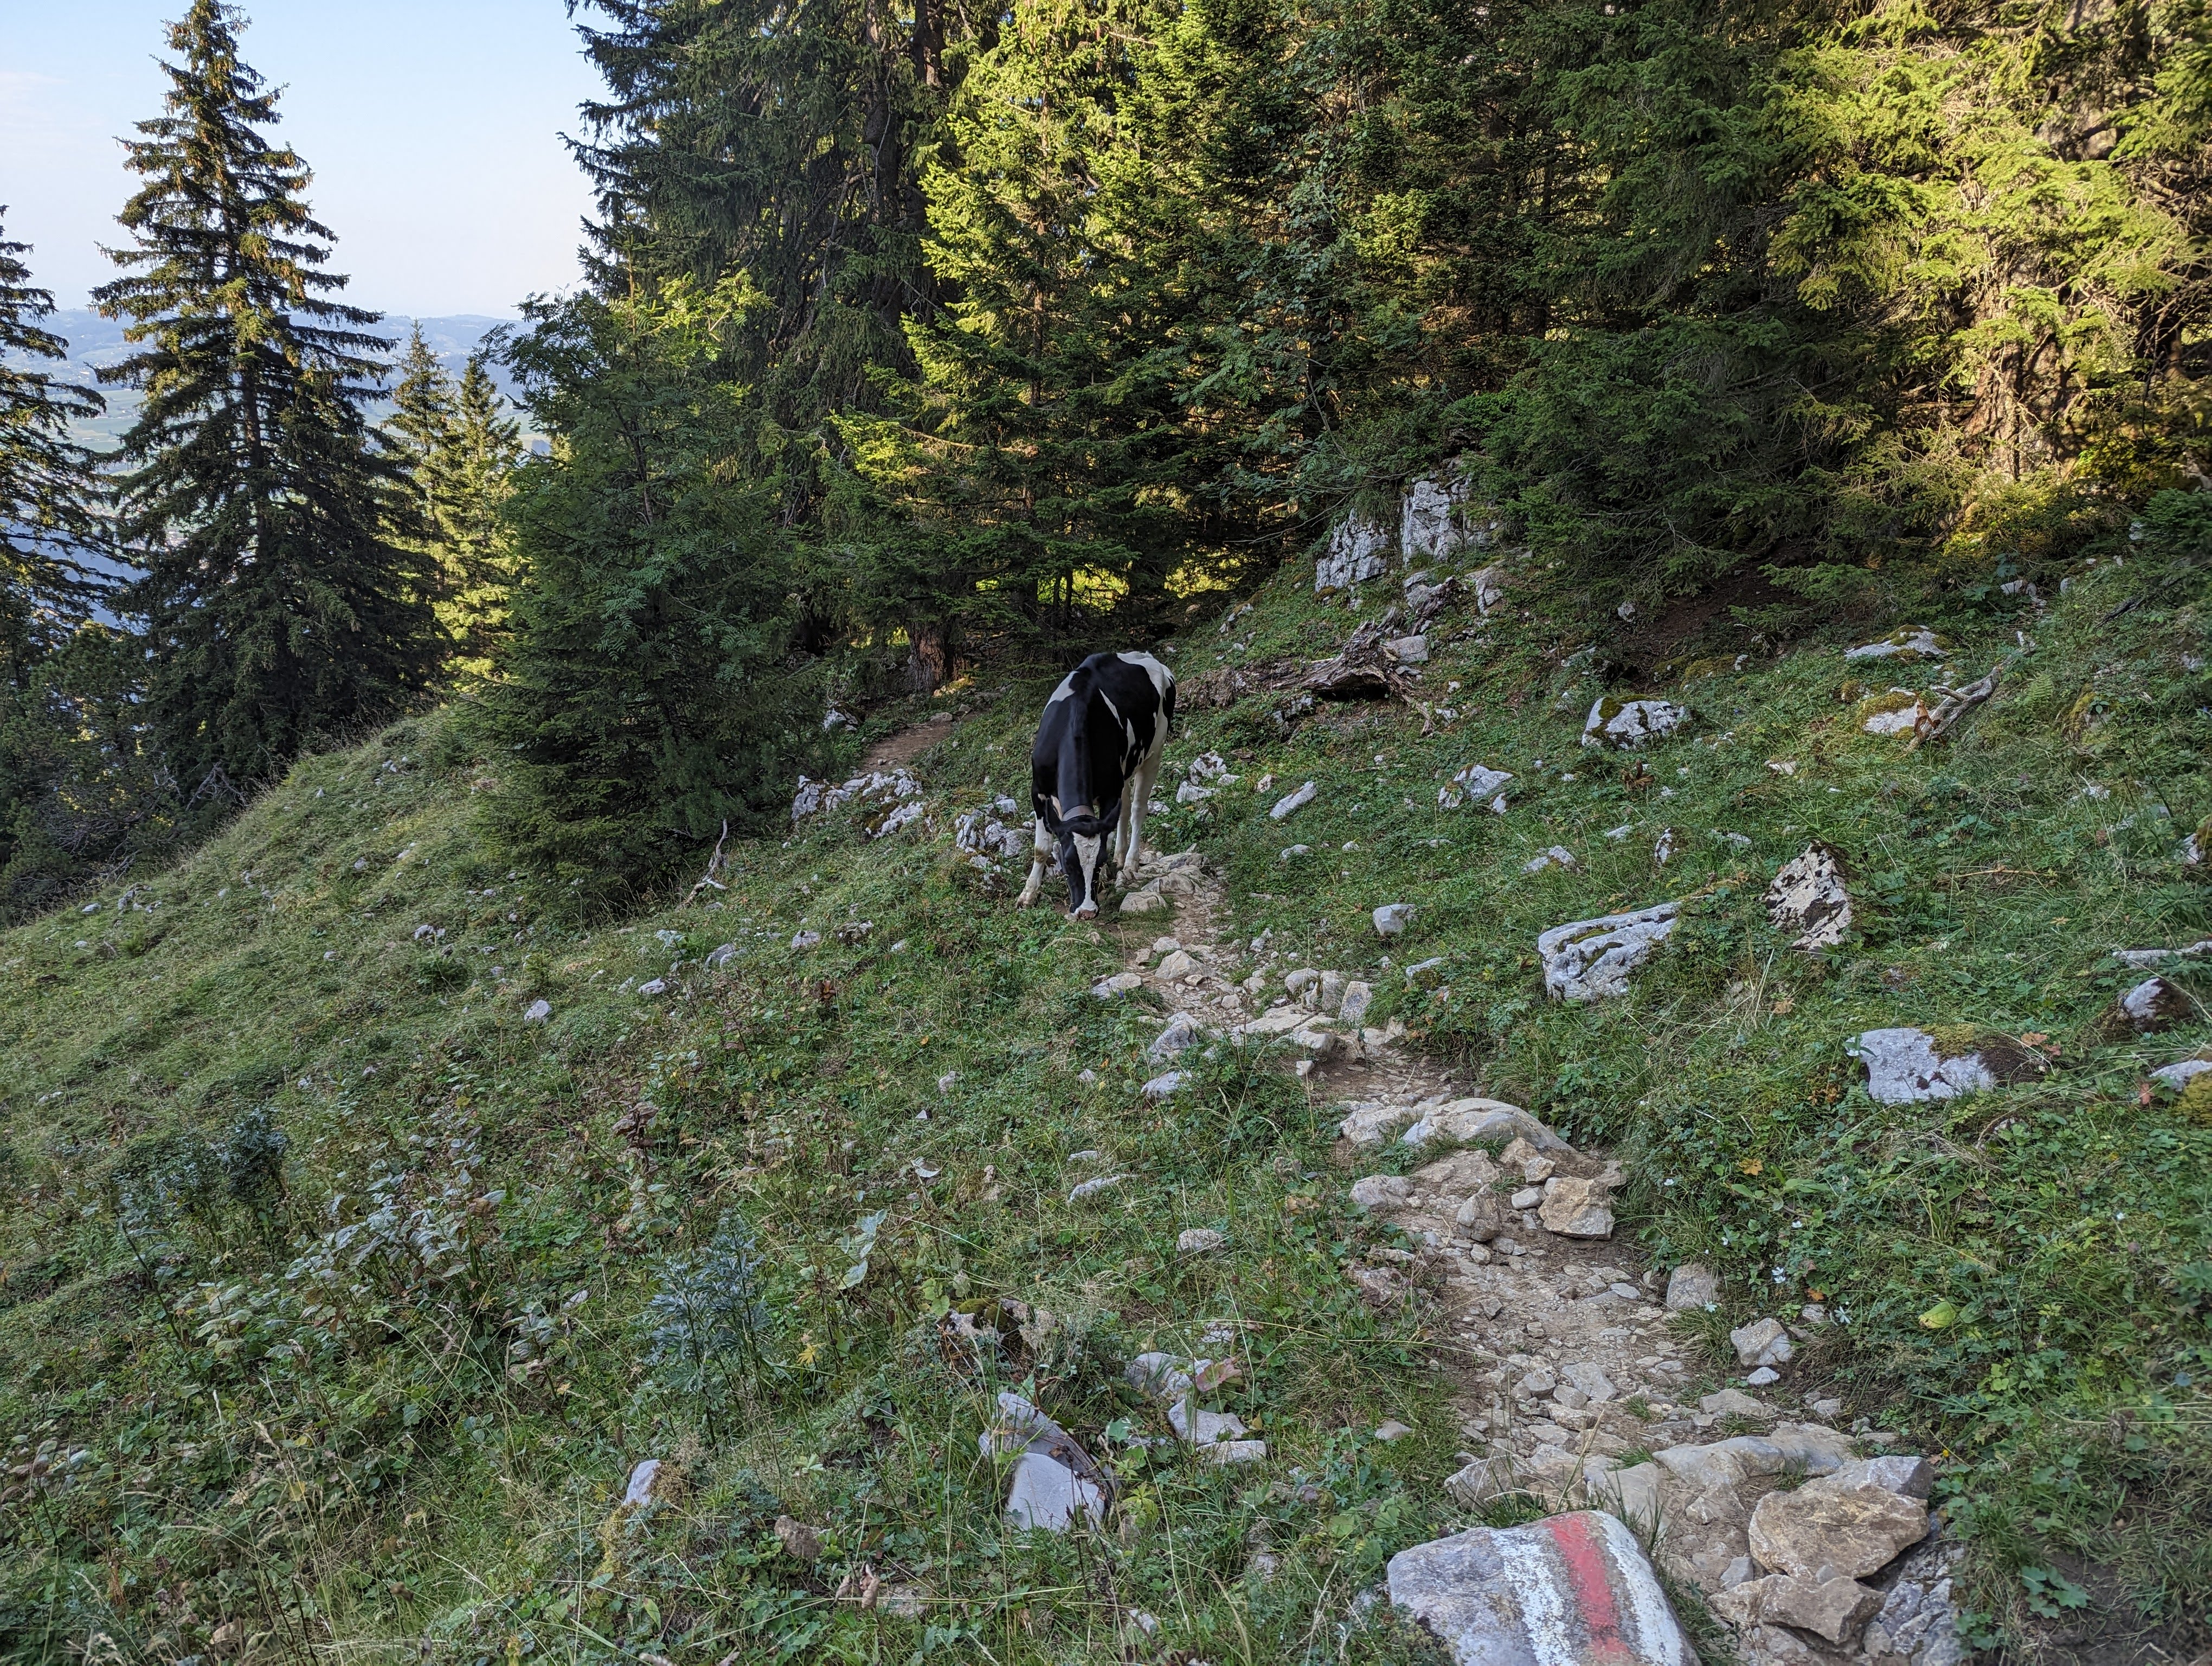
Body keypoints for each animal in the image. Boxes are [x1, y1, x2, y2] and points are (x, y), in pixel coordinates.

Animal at [1016, 651, 1175, 917]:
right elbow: (1041, 848)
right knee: (1125, 808)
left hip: (1154, 753)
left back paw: (1130, 863)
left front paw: (1106, 876)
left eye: (1099, 862)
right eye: (1068, 862)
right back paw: (1120, 856)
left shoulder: (1110, 790)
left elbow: (1108, 832)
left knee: (1137, 809)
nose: (1087, 911)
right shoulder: (1038, 790)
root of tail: (1144, 655)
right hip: (1125, 770)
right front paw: (1028, 894)